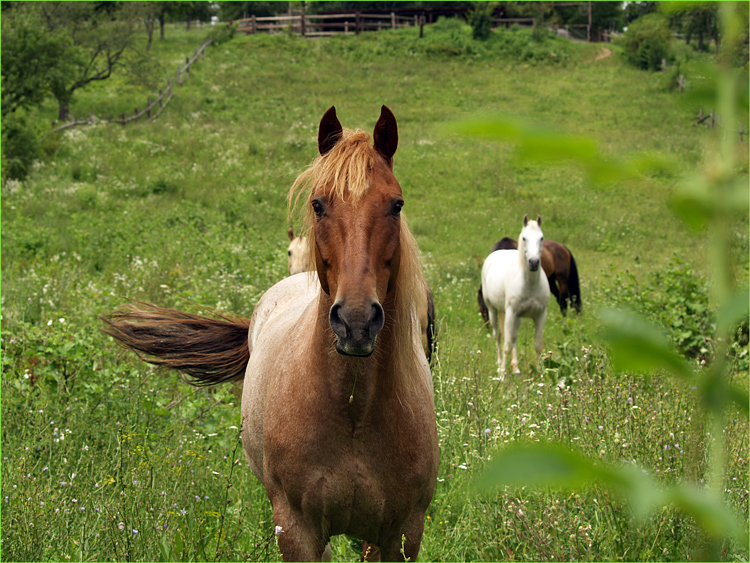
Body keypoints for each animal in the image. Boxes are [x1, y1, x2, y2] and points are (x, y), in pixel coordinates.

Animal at [101, 107, 440, 563]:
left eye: (396, 204)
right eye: (318, 204)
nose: (355, 321)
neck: (354, 411)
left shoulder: (400, 536)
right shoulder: (297, 530)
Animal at [482, 214, 552, 376]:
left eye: (541, 238)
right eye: (524, 238)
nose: (533, 263)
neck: (530, 285)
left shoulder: (540, 315)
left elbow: (537, 345)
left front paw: (540, 373)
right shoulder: (511, 313)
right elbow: (507, 345)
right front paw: (502, 374)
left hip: (516, 317)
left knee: (514, 337)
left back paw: (515, 368)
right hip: (493, 310)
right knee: (498, 336)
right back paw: (500, 364)